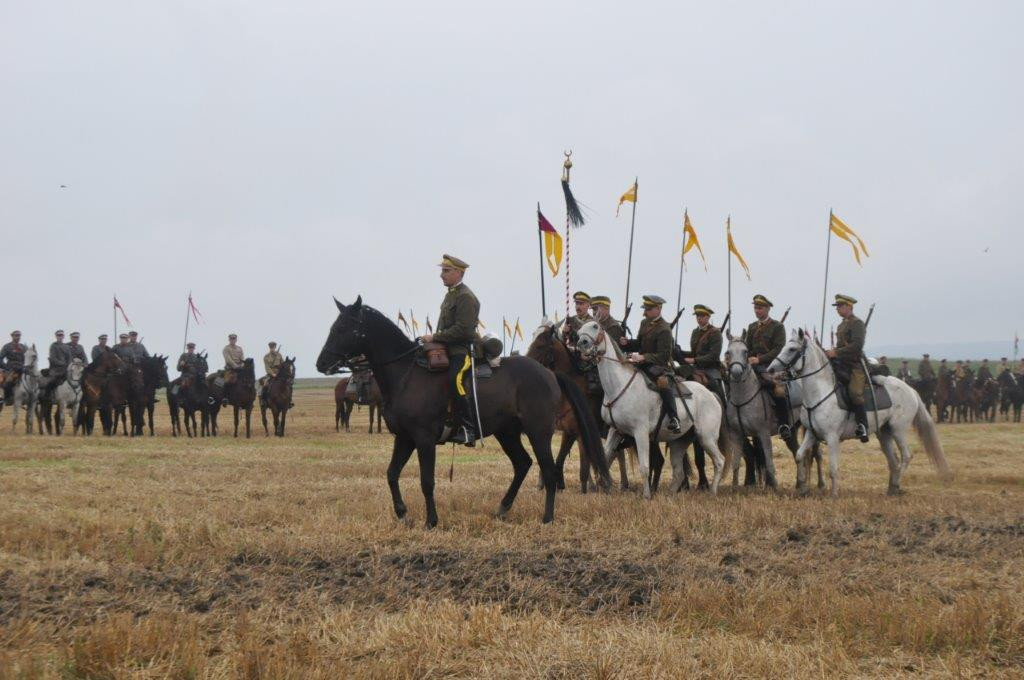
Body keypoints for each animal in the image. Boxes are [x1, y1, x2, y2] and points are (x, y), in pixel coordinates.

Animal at [317, 296, 606, 524]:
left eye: (343, 328)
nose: (321, 363)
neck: (405, 374)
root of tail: (549, 373)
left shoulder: (423, 439)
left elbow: (427, 481)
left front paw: (431, 521)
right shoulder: (405, 438)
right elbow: (391, 474)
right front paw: (403, 514)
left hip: (538, 432)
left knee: (548, 470)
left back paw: (547, 517)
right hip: (507, 433)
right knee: (522, 464)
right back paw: (503, 508)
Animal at [577, 321, 729, 497]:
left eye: (595, 326)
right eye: (579, 331)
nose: (582, 343)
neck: (619, 386)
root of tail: (711, 395)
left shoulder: (640, 432)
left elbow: (644, 466)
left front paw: (646, 495)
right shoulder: (615, 431)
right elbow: (606, 457)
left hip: (706, 437)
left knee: (720, 461)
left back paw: (712, 491)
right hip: (679, 442)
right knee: (679, 471)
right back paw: (669, 494)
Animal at [720, 333, 823, 489]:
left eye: (745, 352)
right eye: (728, 352)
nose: (736, 373)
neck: (742, 400)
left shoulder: (763, 433)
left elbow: (769, 462)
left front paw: (774, 486)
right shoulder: (737, 435)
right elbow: (736, 463)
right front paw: (735, 487)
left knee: (816, 453)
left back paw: (820, 483)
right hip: (792, 431)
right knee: (797, 452)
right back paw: (799, 483)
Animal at [770, 327, 950, 493]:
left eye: (792, 349)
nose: (771, 369)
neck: (819, 393)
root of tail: (911, 390)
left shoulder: (832, 437)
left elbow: (833, 468)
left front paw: (833, 494)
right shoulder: (811, 434)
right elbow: (799, 456)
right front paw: (802, 487)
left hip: (898, 429)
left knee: (906, 456)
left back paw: (897, 484)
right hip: (884, 432)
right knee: (893, 460)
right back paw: (891, 489)